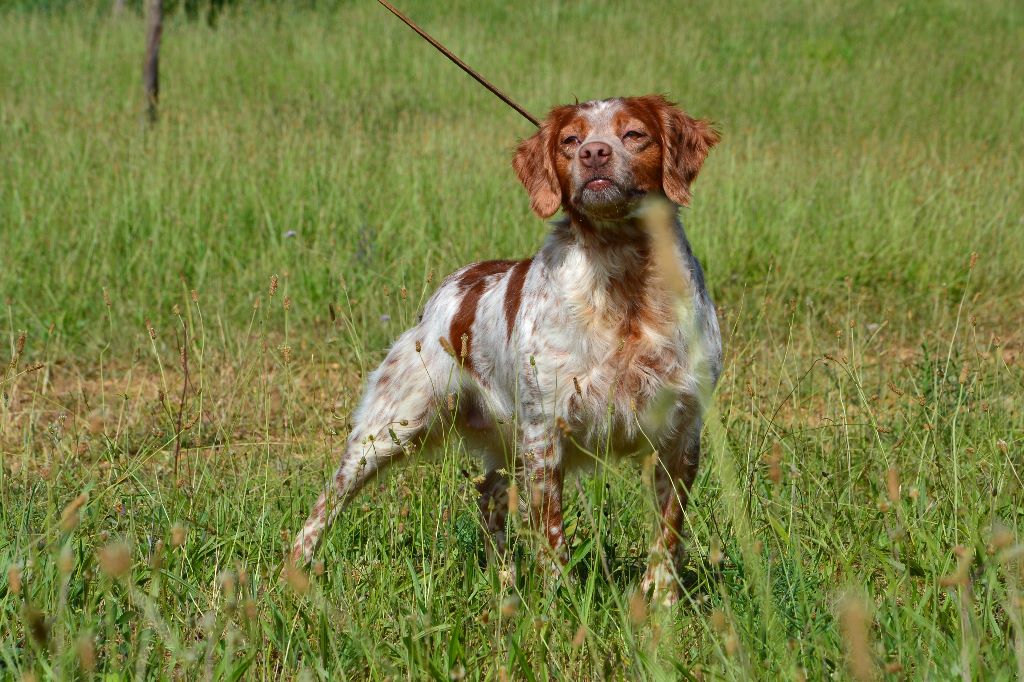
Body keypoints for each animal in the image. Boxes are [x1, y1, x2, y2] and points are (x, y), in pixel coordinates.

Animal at [288, 94, 720, 602]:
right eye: (570, 139)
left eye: (634, 134)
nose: (593, 153)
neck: (624, 284)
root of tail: (455, 284)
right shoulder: (545, 431)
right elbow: (552, 535)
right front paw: (560, 602)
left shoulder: (681, 432)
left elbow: (668, 533)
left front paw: (664, 602)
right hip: (391, 426)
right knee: (327, 502)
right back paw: (294, 570)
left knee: (488, 496)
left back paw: (505, 578)